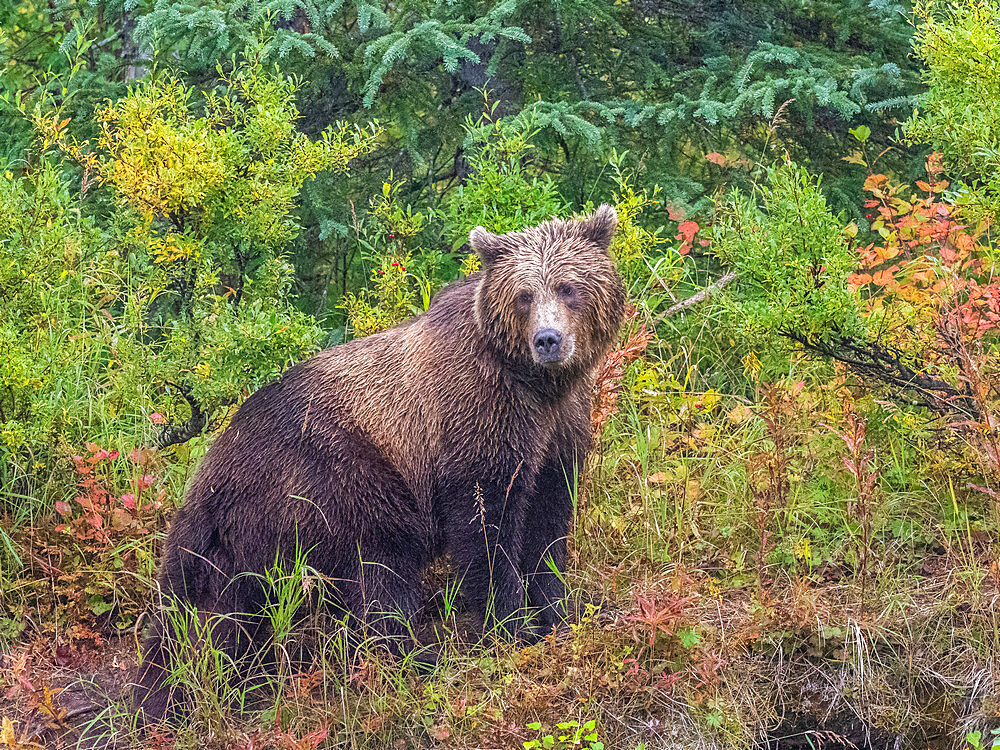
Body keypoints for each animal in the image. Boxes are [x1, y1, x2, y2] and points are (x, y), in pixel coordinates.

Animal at [135, 206, 624, 724]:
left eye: (568, 287)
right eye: (524, 295)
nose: (548, 340)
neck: (536, 385)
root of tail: (213, 468)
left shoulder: (559, 429)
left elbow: (548, 522)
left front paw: (560, 611)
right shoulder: (479, 416)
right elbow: (486, 526)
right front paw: (513, 624)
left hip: (240, 539)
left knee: (216, 611)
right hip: (339, 475)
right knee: (382, 566)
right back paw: (418, 654)